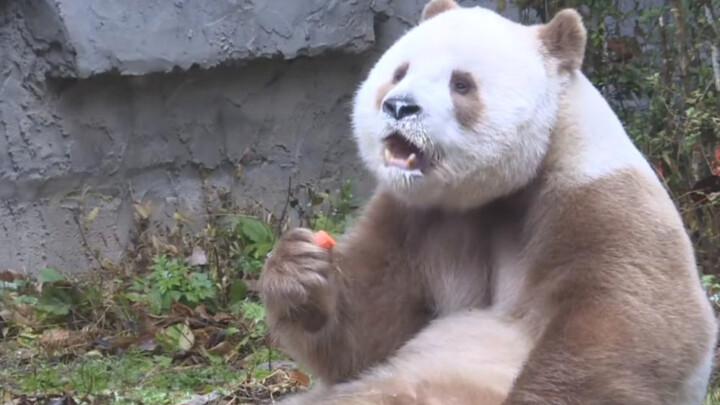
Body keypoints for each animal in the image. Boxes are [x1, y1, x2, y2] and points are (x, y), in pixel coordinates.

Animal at [256, 1, 716, 402]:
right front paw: (301, 267)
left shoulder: (600, 200)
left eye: (461, 83)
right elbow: (369, 332)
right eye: (399, 72)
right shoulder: (415, 218)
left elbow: (633, 326)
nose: (400, 106)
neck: (501, 188)